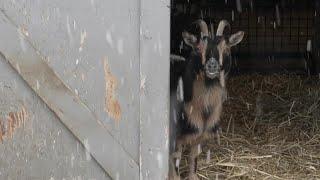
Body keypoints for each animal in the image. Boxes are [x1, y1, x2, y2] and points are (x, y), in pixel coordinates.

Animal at [171, 20, 244, 180]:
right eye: (198, 48)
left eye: (226, 49)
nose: (212, 65)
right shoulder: (176, 137)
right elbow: (176, 162)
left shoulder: (200, 135)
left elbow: (194, 158)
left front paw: (193, 176)